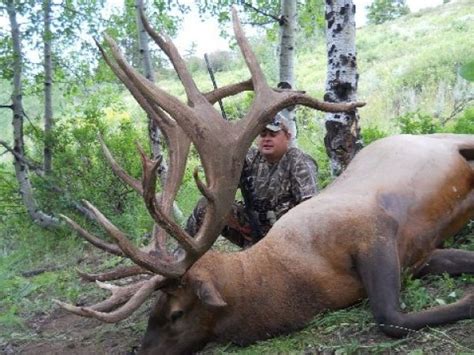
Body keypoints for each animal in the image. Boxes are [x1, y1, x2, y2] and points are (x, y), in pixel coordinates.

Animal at [55, 6, 474, 355]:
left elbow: (390, 319)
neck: (305, 281)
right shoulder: (419, 255)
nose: (141, 352)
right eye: (151, 313)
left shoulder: (373, 231)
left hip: (457, 140)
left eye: (175, 313)